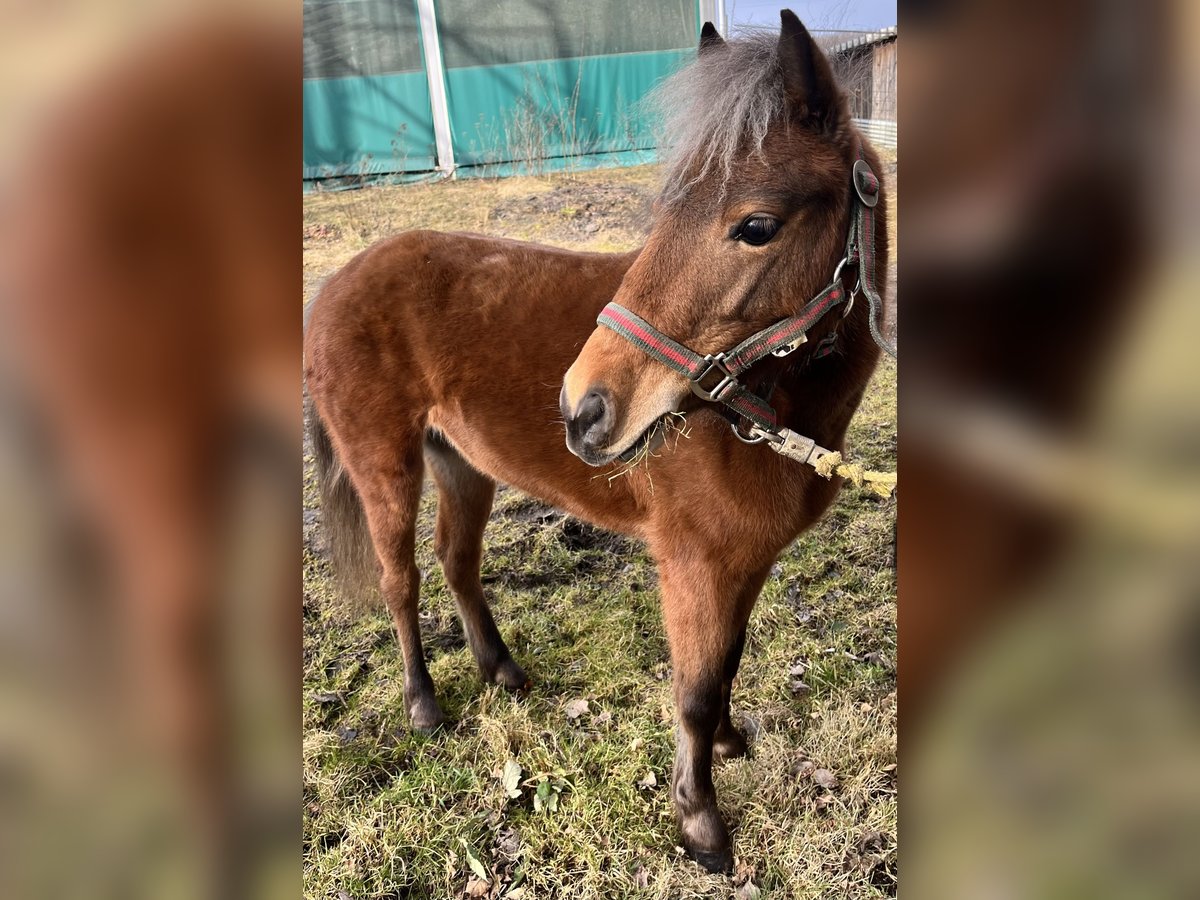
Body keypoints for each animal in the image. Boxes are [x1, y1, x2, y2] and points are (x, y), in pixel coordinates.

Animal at [307, 10, 892, 873]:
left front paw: (731, 744)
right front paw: (702, 828)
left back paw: (503, 671)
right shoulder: (695, 563)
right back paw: (424, 705)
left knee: (457, 561)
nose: (583, 409)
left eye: (756, 227)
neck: (760, 408)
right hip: (386, 467)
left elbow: (727, 662)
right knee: (401, 581)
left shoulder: (743, 561)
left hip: (463, 466)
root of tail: (334, 285)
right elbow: (693, 689)